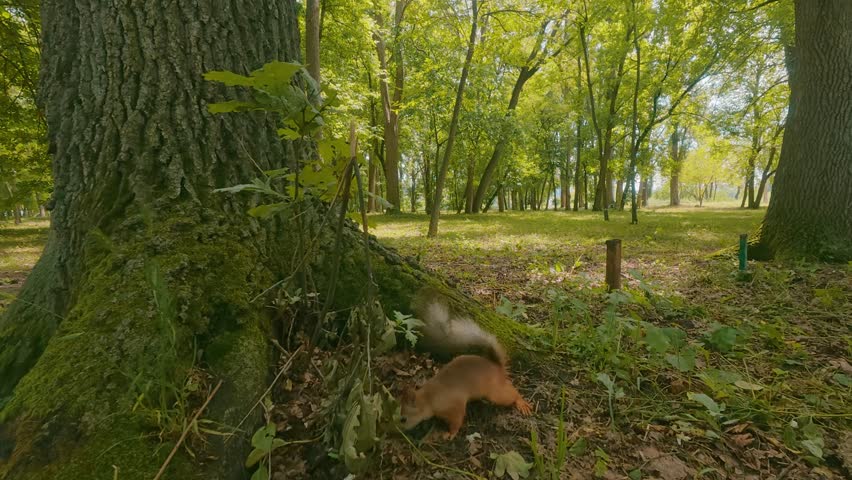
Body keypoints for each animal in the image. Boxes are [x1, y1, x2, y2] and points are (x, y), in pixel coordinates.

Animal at [399, 291, 533, 440]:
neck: (429, 398)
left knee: (512, 393)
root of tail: (496, 366)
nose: (395, 431)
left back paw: (521, 403)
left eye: (403, 419)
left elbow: (457, 420)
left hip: (495, 394)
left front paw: (450, 434)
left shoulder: (454, 406)